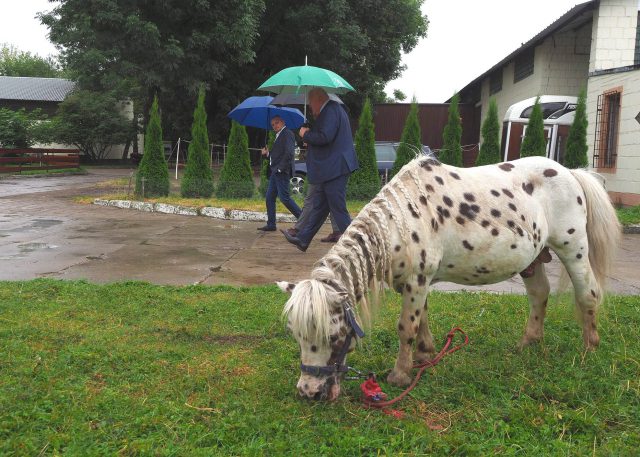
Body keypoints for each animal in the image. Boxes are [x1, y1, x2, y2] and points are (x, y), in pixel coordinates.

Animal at [278, 156, 620, 400]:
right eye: (296, 335)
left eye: (334, 337)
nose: (309, 392)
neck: (400, 220)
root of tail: (570, 173)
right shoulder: (416, 283)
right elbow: (422, 320)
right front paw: (425, 355)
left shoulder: (417, 280)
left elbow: (406, 327)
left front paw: (400, 375)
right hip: (534, 260)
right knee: (539, 294)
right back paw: (527, 343)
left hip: (573, 249)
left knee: (588, 293)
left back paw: (589, 348)